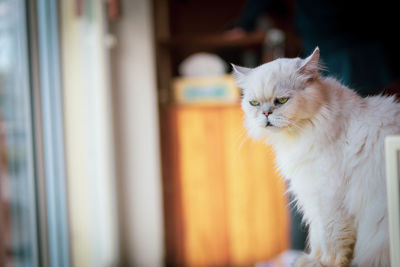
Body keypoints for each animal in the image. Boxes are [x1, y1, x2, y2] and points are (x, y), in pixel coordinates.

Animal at [233, 48, 398, 267]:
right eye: (254, 103)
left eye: (282, 101)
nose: (266, 113)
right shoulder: (311, 197)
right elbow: (318, 237)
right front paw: (310, 260)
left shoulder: (329, 199)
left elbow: (331, 242)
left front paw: (322, 263)